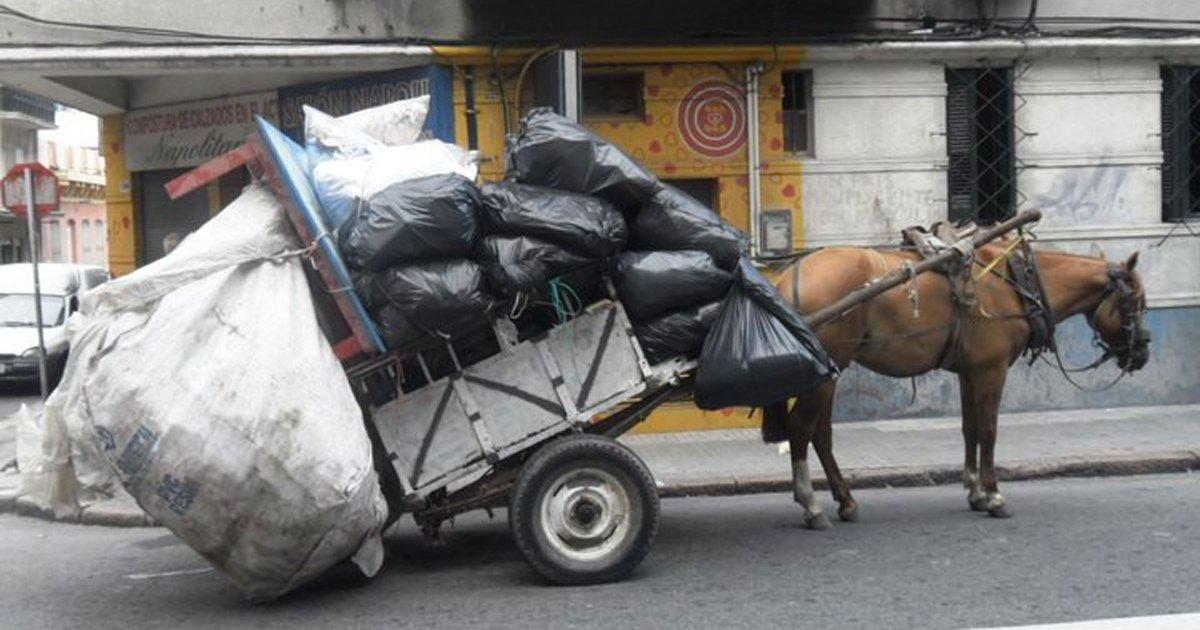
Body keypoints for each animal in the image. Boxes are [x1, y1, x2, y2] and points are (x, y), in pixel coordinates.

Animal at [763, 243, 1147, 528]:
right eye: (1136, 301)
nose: (1142, 352)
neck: (1015, 284)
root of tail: (788, 278)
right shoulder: (992, 370)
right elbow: (989, 431)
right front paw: (994, 496)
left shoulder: (970, 371)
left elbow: (970, 429)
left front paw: (975, 492)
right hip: (827, 368)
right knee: (802, 429)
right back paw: (811, 505)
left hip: (830, 371)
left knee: (820, 435)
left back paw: (845, 501)